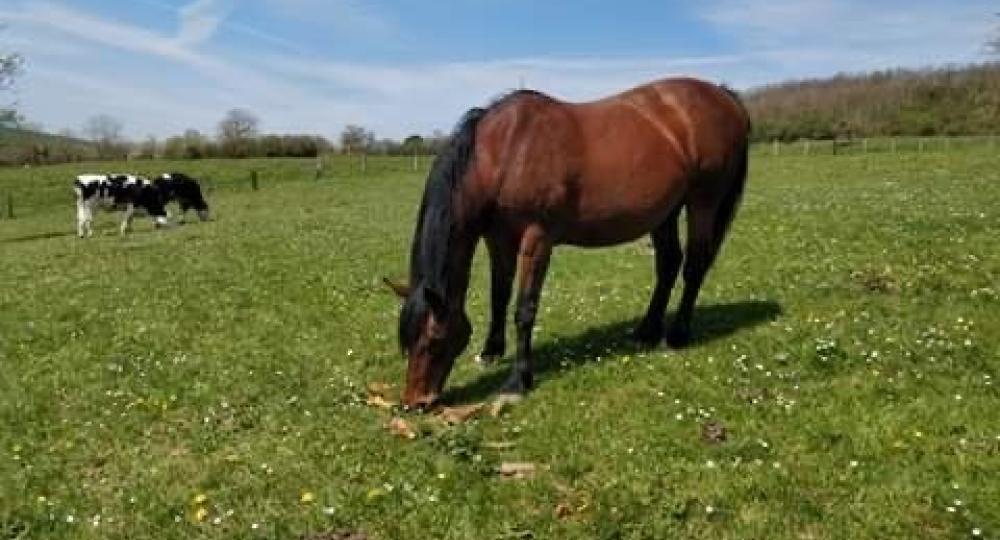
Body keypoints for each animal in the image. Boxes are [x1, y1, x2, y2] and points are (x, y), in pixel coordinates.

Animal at [386, 77, 748, 410]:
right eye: (406, 340)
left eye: (433, 340)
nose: (415, 402)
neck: (507, 151)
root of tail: (722, 94)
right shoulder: (498, 240)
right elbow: (499, 296)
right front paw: (491, 351)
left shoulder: (537, 240)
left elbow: (524, 309)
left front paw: (518, 380)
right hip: (665, 212)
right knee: (669, 264)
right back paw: (646, 330)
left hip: (702, 202)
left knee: (694, 265)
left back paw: (676, 335)